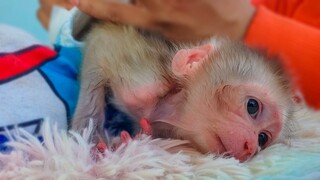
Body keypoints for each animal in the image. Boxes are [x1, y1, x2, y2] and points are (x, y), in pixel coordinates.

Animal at [72, 13, 296, 162]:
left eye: (262, 138)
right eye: (252, 106)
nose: (250, 147)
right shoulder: (144, 85)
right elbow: (100, 44)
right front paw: (88, 141)